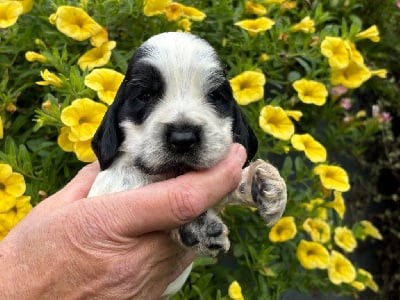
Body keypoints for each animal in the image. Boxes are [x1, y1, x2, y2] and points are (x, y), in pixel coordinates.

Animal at [88, 32, 288, 296]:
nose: (183, 138)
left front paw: (264, 183)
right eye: (145, 96)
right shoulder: (107, 188)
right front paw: (196, 225)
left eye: (215, 96)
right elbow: (134, 178)